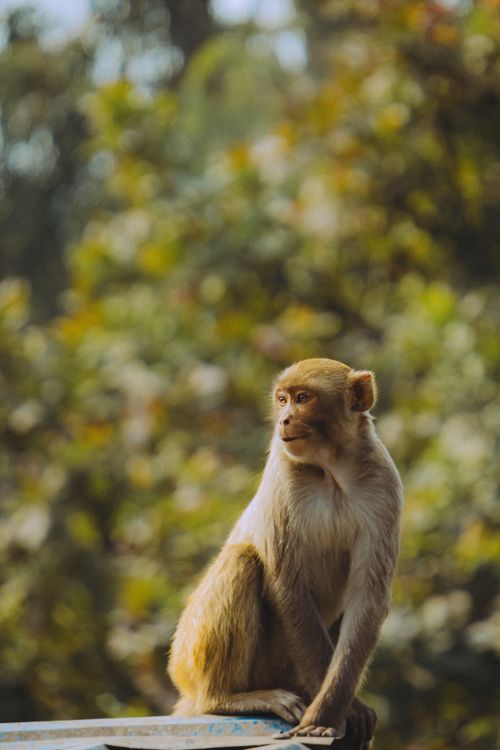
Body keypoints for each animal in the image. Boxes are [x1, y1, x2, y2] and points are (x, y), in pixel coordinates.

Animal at [168, 358, 402, 748]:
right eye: (282, 399)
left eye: (303, 398)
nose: (284, 420)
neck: (331, 472)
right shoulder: (284, 473)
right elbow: (287, 586)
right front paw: (344, 712)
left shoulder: (383, 484)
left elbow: (367, 598)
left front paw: (330, 712)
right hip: (193, 658)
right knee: (243, 561)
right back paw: (226, 699)